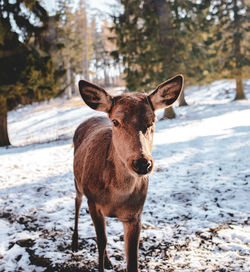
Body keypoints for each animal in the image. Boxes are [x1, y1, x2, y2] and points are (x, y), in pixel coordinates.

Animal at [72, 74, 184, 272]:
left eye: (152, 121)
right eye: (115, 121)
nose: (142, 163)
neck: (116, 195)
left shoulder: (135, 213)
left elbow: (132, 259)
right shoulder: (93, 201)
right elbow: (101, 241)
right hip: (77, 182)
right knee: (77, 202)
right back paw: (75, 242)